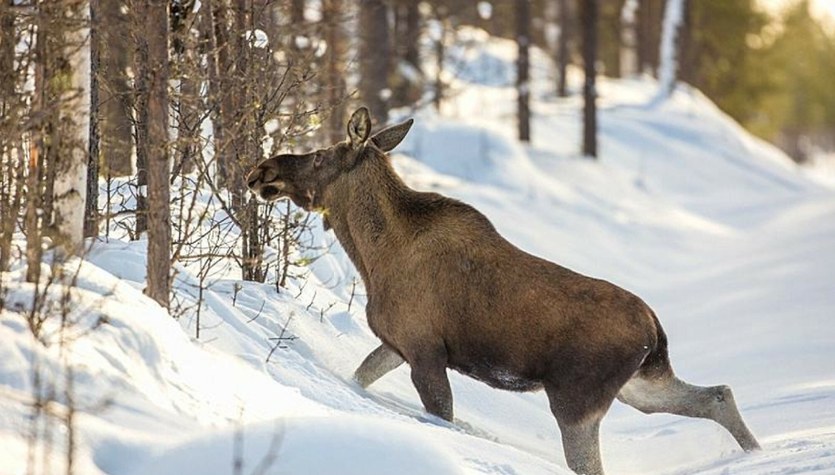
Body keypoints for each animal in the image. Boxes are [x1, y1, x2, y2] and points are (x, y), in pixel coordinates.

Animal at [245, 109, 760, 475]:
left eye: (318, 156)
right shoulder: (397, 344)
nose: (261, 170)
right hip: (640, 384)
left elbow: (440, 413)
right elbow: (360, 376)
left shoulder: (425, 351)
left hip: (576, 399)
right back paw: (756, 453)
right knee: (717, 394)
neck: (372, 255)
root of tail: (655, 329)